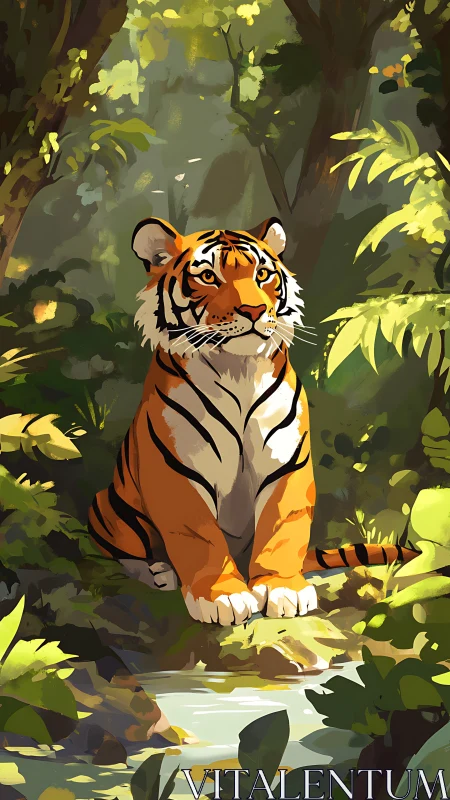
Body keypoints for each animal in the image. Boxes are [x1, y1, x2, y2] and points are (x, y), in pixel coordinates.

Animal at [88, 216, 419, 626]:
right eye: (209, 277)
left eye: (262, 274)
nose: (253, 310)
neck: (238, 370)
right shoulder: (178, 472)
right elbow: (200, 538)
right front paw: (223, 597)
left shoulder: (286, 463)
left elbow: (283, 529)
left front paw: (284, 589)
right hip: (109, 506)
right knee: (128, 553)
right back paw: (160, 573)